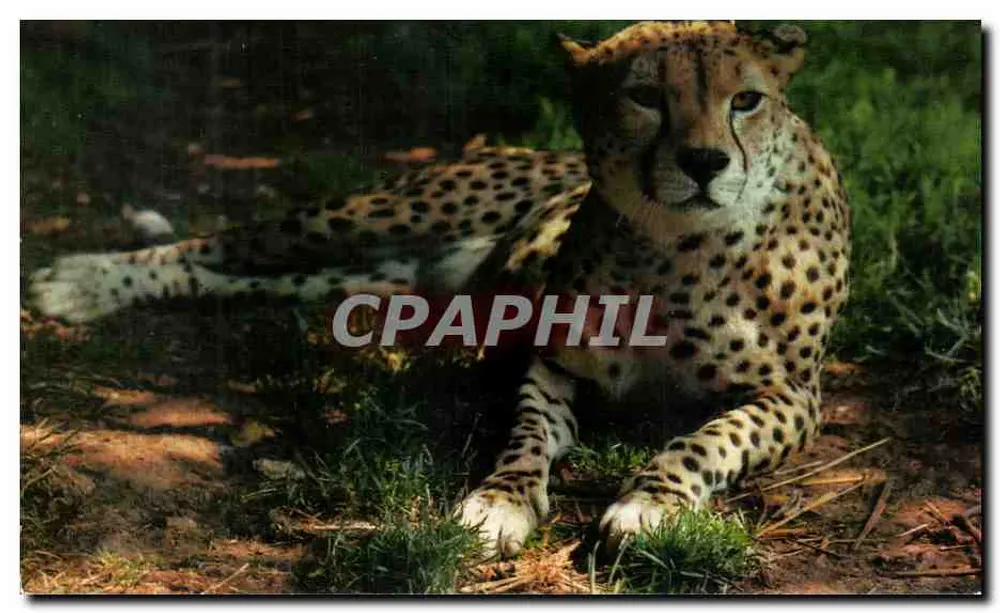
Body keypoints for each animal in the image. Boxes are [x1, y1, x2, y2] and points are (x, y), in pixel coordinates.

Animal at [27, 21, 851, 560]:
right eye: (645, 96)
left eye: (746, 100)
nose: (706, 161)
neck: (669, 244)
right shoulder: (550, 362)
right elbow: (525, 435)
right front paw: (499, 501)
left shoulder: (791, 397)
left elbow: (709, 436)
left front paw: (649, 499)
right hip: (374, 215)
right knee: (226, 242)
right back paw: (82, 280)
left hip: (383, 276)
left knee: (242, 281)